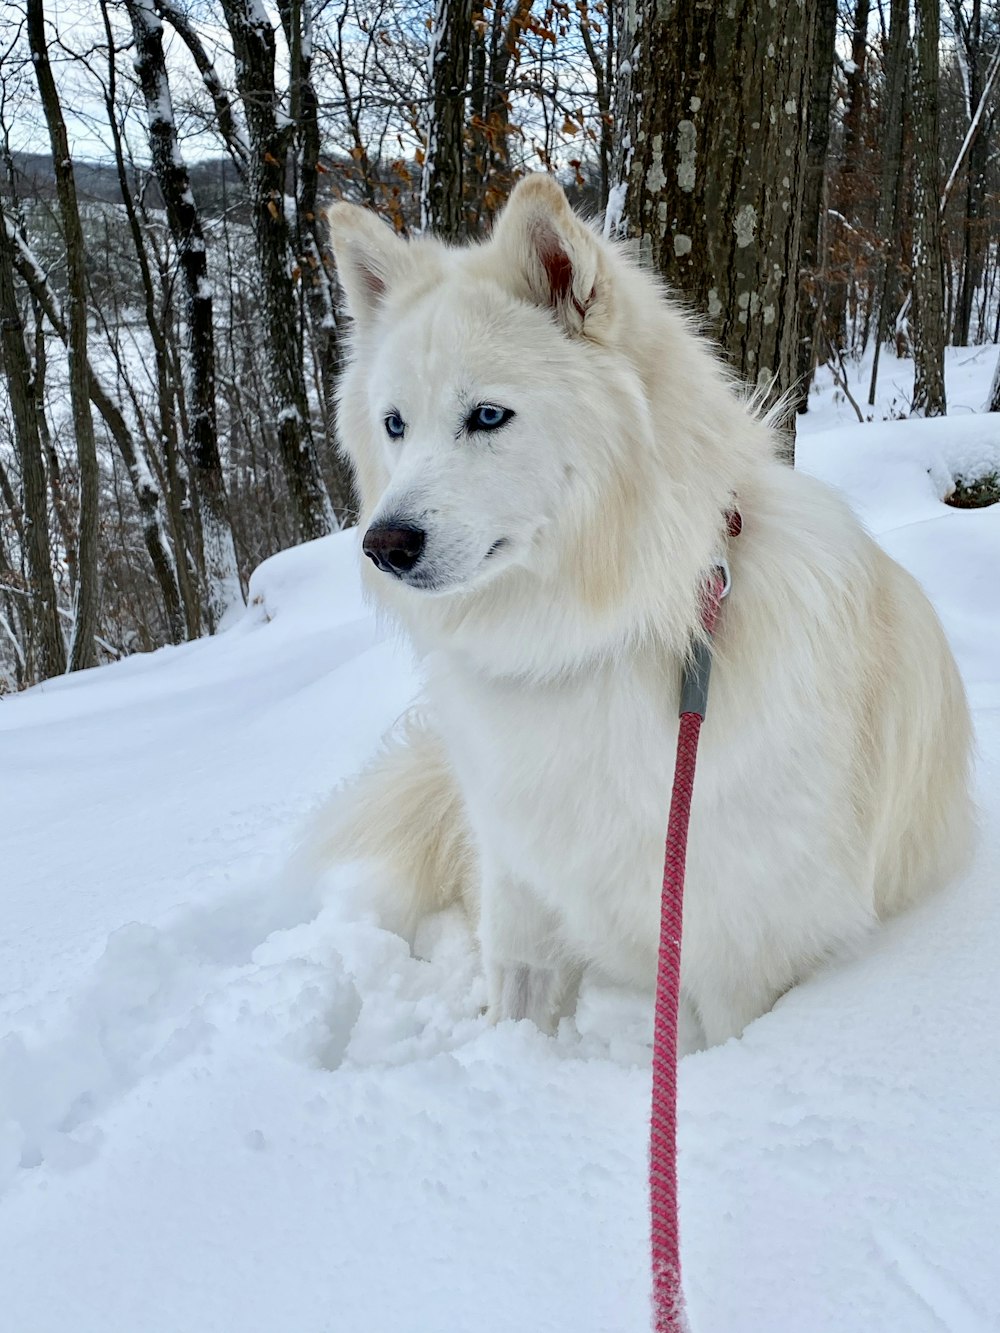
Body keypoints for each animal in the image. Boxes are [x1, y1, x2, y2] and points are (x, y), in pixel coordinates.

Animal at [318, 177, 970, 1045]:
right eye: (395, 425)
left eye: (487, 415)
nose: (383, 545)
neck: (588, 638)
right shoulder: (523, 895)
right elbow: (515, 1010)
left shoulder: (740, 956)